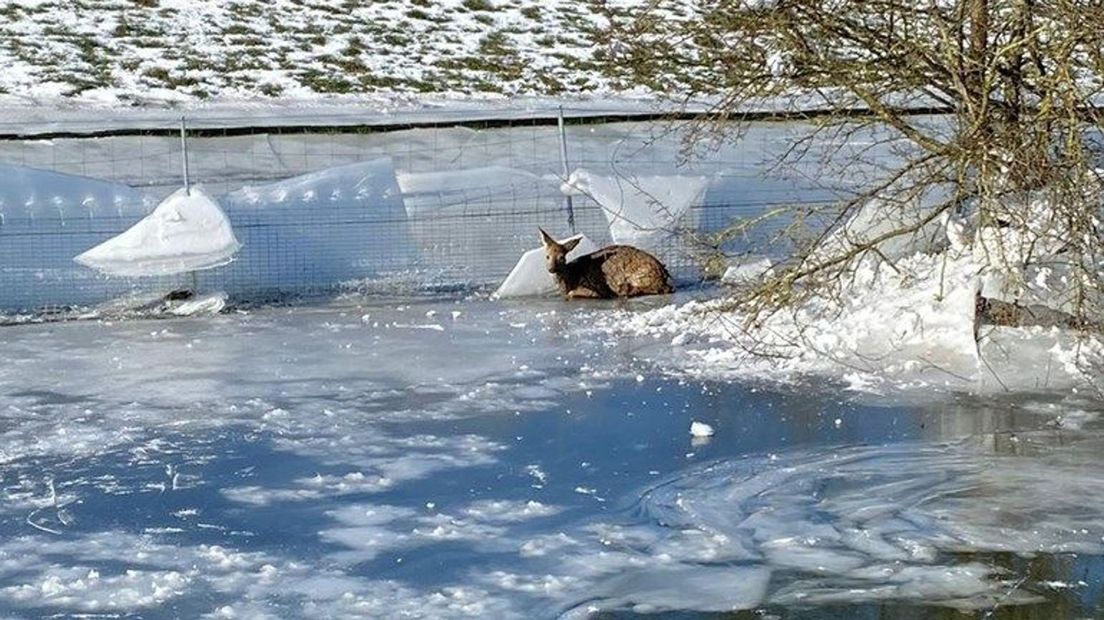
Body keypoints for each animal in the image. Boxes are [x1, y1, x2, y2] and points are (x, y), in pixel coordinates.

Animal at [536, 227, 671, 300]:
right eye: (547, 256)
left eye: (562, 257)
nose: (551, 269)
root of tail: (663, 273)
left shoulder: (595, 288)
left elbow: (572, 293)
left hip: (638, 275)